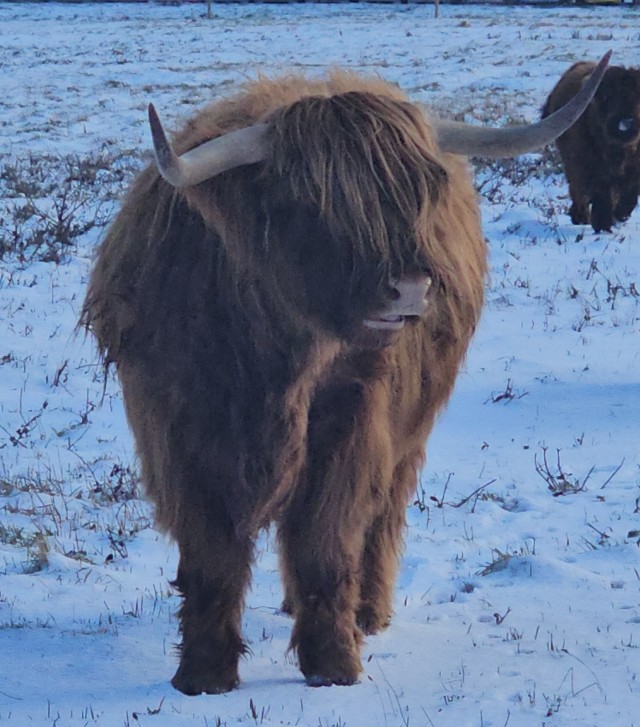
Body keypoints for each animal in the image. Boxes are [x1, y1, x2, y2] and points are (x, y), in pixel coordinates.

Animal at [81, 54, 609, 695]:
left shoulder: (351, 427)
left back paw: (369, 612)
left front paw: (332, 664)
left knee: (381, 518)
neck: (274, 363)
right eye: (314, 205)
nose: (410, 287)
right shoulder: (181, 436)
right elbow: (212, 555)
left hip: (408, 435)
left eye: (418, 192)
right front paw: (204, 674)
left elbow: (326, 541)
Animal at [542, 60, 640, 232]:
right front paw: (603, 225)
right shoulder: (591, 168)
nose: (625, 122)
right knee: (578, 191)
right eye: (607, 98)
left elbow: (630, 190)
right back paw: (580, 216)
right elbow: (600, 194)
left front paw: (620, 215)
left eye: (637, 97)